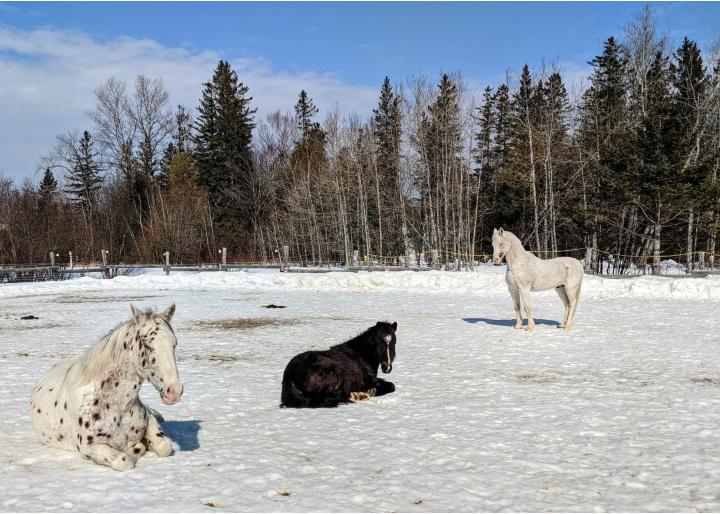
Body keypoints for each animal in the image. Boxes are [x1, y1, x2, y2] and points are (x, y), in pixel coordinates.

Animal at [30, 304, 183, 468]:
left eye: (174, 344)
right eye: (148, 346)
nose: (174, 391)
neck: (117, 406)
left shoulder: (149, 421)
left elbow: (164, 446)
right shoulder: (90, 448)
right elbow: (123, 460)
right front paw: (138, 447)